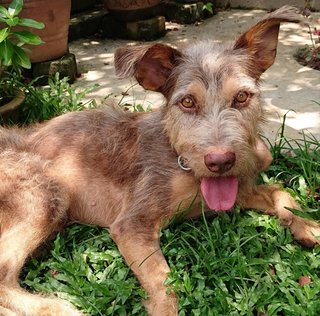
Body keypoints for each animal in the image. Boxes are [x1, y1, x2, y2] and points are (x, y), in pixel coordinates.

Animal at [0, 5, 320, 316]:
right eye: (187, 102)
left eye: (241, 97)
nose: (220, 161)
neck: (182, 162)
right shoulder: (132, 223)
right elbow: (165, 285)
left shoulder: (239, 188)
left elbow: (280, 192)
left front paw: (306, 224)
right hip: (46, 194)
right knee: (4, 274)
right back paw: (53, 307)